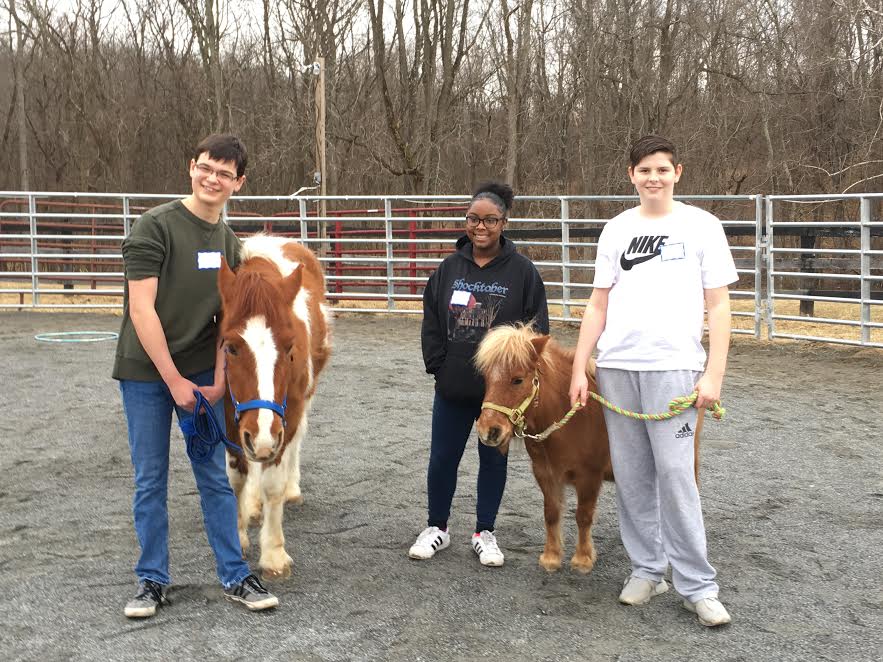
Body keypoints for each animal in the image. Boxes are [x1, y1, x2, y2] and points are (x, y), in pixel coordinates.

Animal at [218, 234, 332, 580]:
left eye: (290, 346)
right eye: (231, 347)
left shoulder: (285, 416)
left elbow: (273, 484)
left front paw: (273, 554)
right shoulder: (232, 419)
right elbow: (236, 478)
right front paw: (238, 533)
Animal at [474, 324, 703, 574]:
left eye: (517, 380)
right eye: (486, 378)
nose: (489, 431)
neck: (568, 418)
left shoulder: (589, 476)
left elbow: (583, 516)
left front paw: (582, 559)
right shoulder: (545, 473)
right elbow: (551, 513)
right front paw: (551, 557)